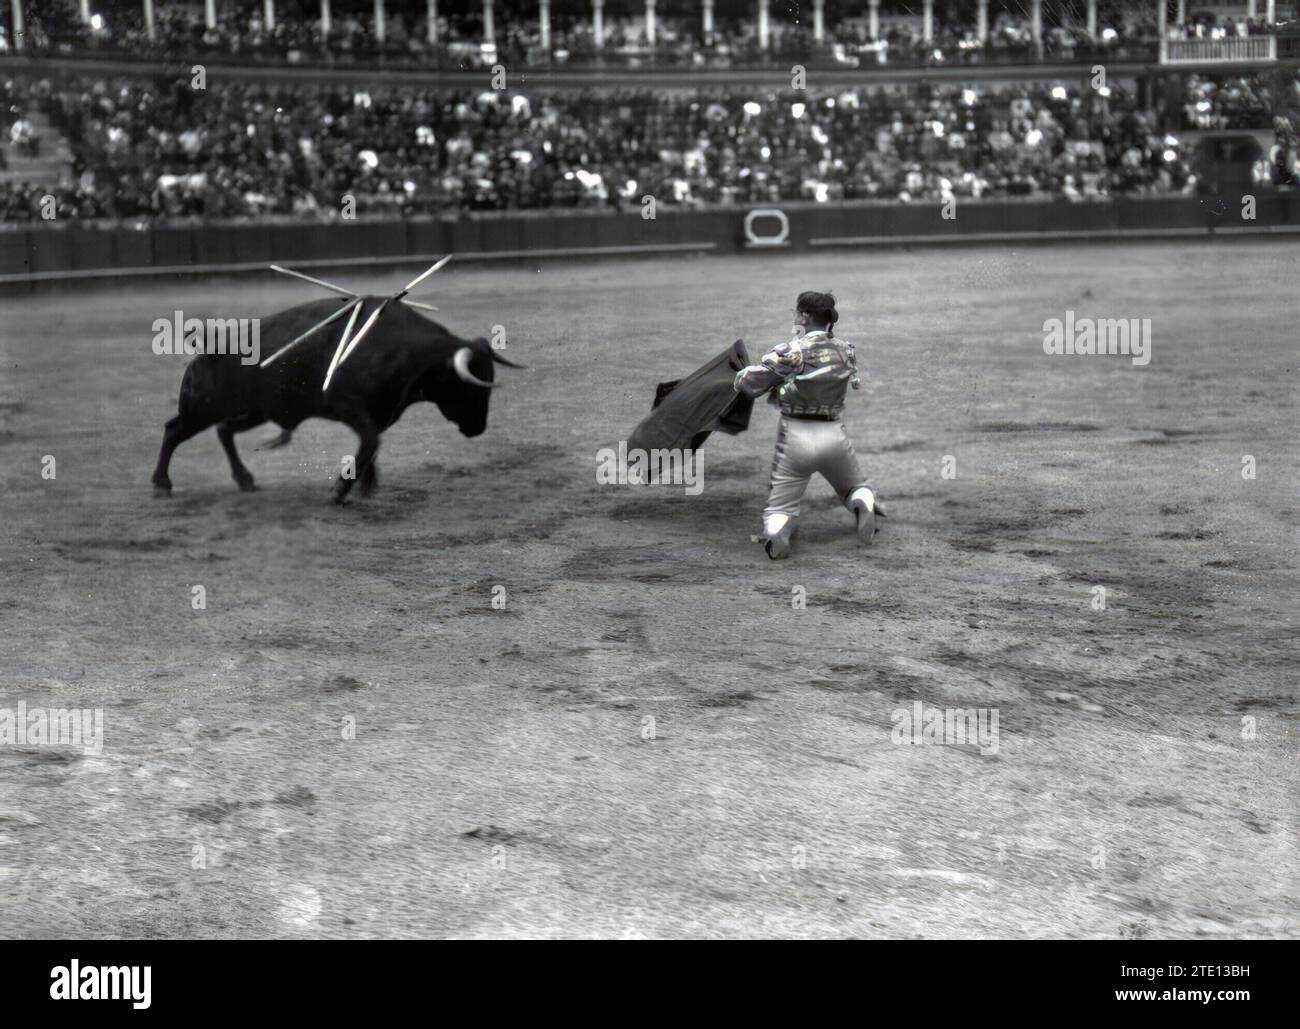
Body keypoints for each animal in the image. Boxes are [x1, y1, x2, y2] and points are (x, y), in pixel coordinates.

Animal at [152, 297, 517, 501]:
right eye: (470, 386)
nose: (478, 428)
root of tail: (205, 350)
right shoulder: (348, 407)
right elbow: (369, 441)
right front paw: (341, 491)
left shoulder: (377, 413)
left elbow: (371, 446)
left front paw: (366, 485)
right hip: (201, 409)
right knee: (174, 431)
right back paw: (162, 484)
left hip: (255, 412)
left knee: (224, 431)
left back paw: (245, 480)